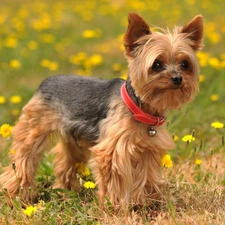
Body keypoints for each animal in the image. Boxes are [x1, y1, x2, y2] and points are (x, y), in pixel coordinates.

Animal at [0, 12, 203, 206]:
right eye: (157, 64)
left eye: (185, 64)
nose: (177, 78)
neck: (140, 108)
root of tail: (47, 79)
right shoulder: (113, 151)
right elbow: (115, 180)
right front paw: (116, 206)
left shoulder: (148, 150)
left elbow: (145, 176)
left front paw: (145, 203)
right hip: (34, 126)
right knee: (24, 159)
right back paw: (16, 195)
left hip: (74, 138)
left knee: (66, 161)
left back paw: (68, 190)